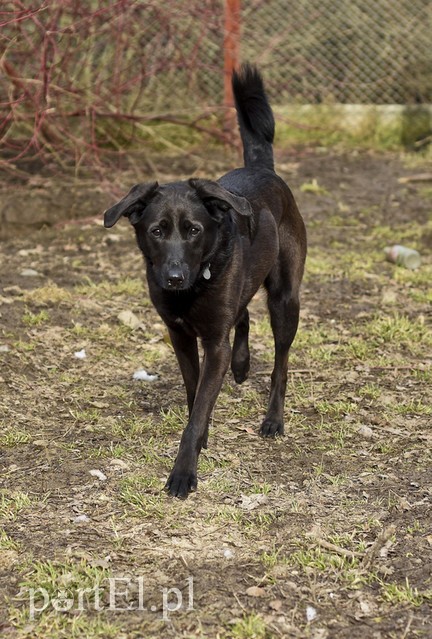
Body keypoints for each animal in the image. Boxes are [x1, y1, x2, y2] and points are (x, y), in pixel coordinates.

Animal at [104, 65, 308, 498]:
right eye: (157, 231)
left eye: (194, 230)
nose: (173, 277)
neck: (195, 287)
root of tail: (263, 169)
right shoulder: (180, 336)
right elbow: (194, 393)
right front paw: (203, 436)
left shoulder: (214, 344)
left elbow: (198, 408)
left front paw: (184, 470)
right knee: (243, 314)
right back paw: (242, 365)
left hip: (285, 299)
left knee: (280, 363)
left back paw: (273, 419)